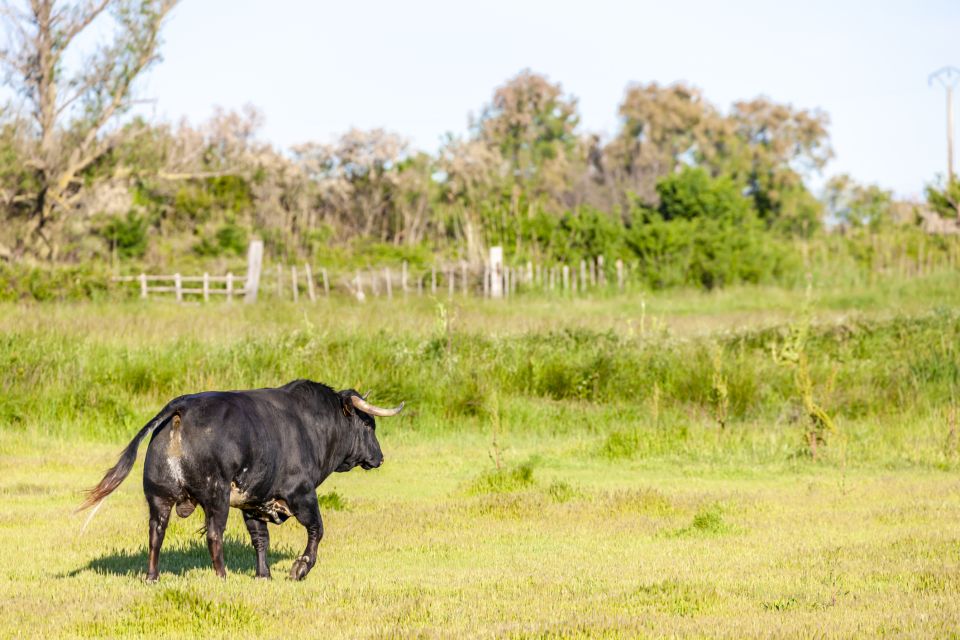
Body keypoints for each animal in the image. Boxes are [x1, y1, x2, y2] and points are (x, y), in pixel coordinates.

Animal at [77, 382, 402, 584]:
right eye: (368, 424)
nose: (379, 457)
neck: (311, 425)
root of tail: (181, 408)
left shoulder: (253, 501)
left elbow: (260, 539)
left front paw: (263, 575)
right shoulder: (301, 493)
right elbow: (316, 530)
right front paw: (300, 568)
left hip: (159, 497)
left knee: (156, 534)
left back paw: (152, 577)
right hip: (216, 496)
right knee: (213, 534)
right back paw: (222, 576)